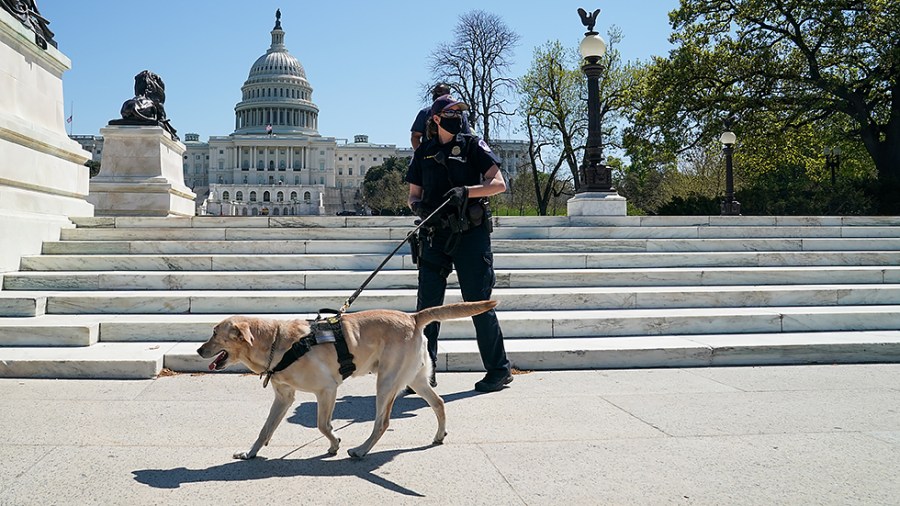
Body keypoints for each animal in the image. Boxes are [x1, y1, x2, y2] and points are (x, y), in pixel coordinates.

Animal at [197, 298, 500, 460]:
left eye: (214, 332)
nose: (199, 350)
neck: (276, 342)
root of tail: (413, 317)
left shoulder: (327, 389)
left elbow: (322, 425)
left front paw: (335, 444)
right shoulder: (284, 397)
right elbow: (265, 429)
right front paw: (250, 454)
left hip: (387, 382)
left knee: (382, 422)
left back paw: (361, 450)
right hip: (415, 379)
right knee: (438, 403)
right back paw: (438, 436)